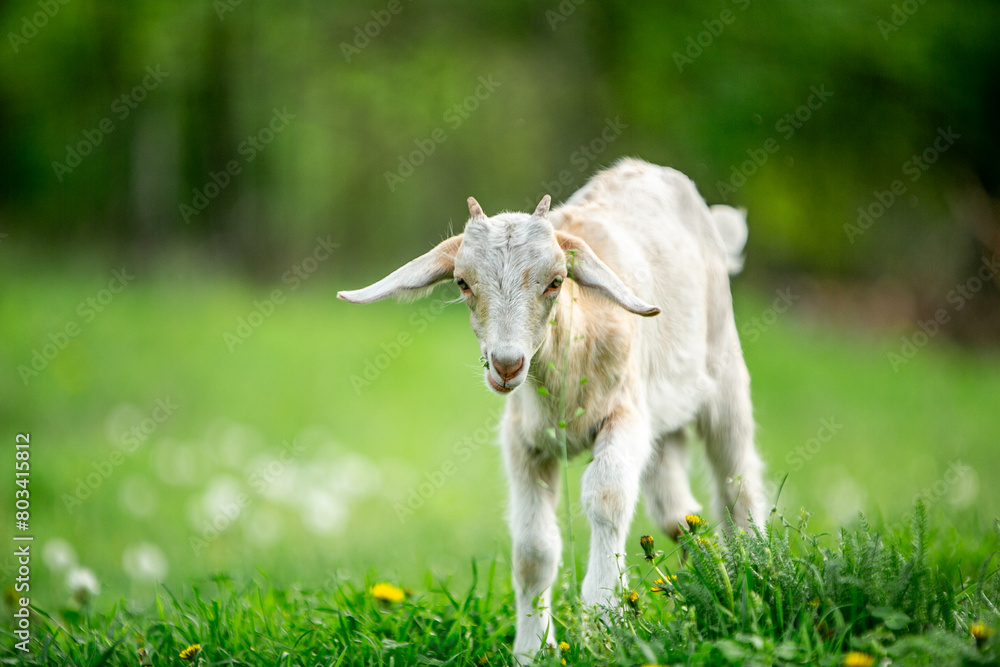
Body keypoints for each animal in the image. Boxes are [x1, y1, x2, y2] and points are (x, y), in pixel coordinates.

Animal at [338, 158, 765, 658]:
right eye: (463, 283)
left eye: (556, 282)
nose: (506, 364)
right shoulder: (525, 442)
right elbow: (533, 551)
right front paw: (531, 649)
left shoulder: (626, 416)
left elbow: (606, 498)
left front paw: (603, 621)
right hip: (665, 423)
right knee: (681, 515)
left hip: (724, 373)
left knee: (737, 482)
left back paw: (754, 574)